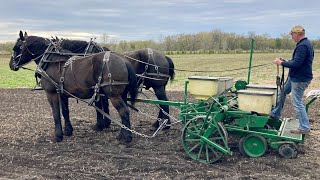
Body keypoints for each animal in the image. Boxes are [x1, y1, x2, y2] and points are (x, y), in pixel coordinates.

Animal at [9, 31, 138, 143]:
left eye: (17, 47)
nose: (11, 65)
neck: (51, 60)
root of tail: (124, 61)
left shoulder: (52, 93)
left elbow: (56, 113)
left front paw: (58, 136)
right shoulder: (62, 93)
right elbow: (65, 112)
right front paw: (68, 131)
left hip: (114, 95)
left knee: (124, 111)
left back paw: (127, 138)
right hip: (122, 94)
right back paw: (121, 135)